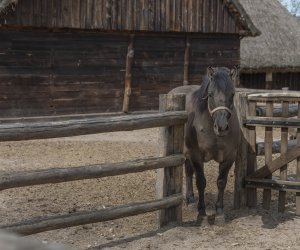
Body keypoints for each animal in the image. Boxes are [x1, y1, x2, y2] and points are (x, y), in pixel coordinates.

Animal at [170, 67, 240, 223]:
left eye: (232, 94)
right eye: (210, 94)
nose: (221, 127)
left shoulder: (229, 157)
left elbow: (221, 182)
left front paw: (219, 212)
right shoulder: (196, 156)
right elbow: (201, 182)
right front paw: (201, 212)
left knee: (188, 172)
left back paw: (191, 199)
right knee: (189, 173)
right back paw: (191, 201)